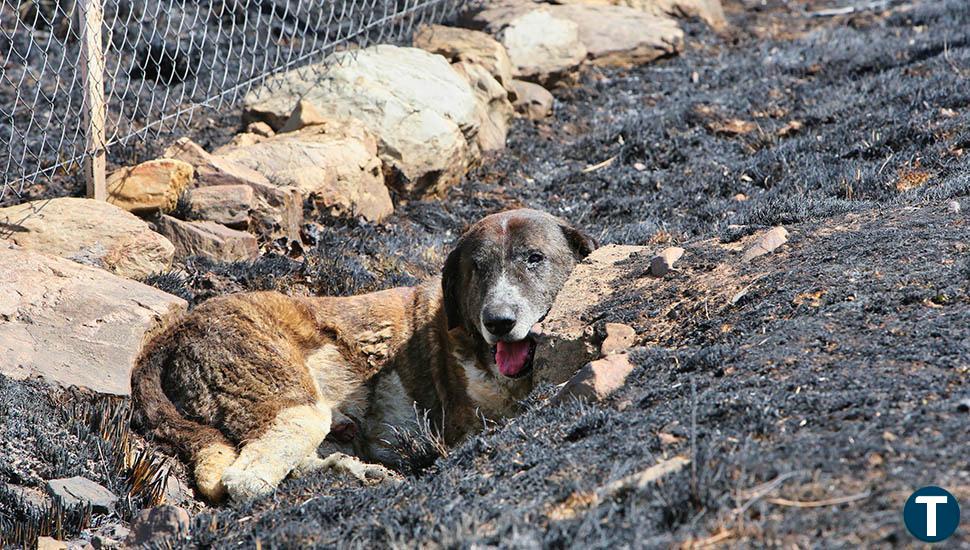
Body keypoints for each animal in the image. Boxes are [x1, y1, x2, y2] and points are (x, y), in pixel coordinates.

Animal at [131, 208, 592, 504]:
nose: (497, 321)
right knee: (244, 481)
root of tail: (171, 332)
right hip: (293, 403)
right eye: (477, 268)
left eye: (534, 259)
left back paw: (353, 469)